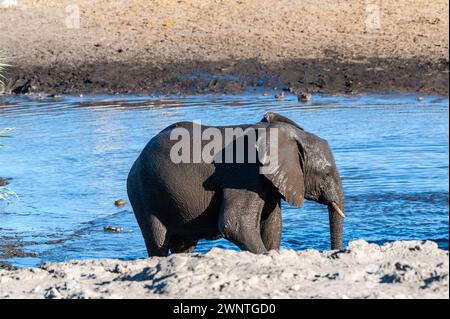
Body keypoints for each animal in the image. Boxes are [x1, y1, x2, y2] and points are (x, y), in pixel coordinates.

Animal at [126, 112, 344, 258]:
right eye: (326, 174)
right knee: (158, 244)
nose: (334, 253)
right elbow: (235, 224)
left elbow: (273, 226)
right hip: (143, 196)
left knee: (184, 246)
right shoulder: (243, 174)